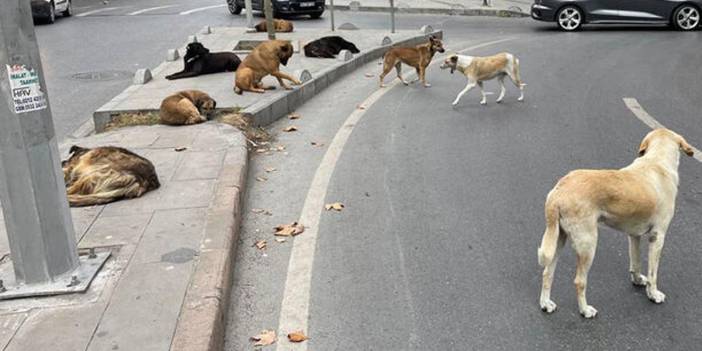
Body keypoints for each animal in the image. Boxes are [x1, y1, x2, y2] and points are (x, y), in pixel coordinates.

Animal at [540, 129, 700, 320]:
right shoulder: (658, 237)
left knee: (547, 273)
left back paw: (545, 304)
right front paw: (653, 294)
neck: (657, 161)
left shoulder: (634, 235)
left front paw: (637, 281)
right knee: (579, 281)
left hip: (558, 239)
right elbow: (653, 273)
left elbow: (636, 262)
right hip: (588, 244)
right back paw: (585, 310)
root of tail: (558, 191)